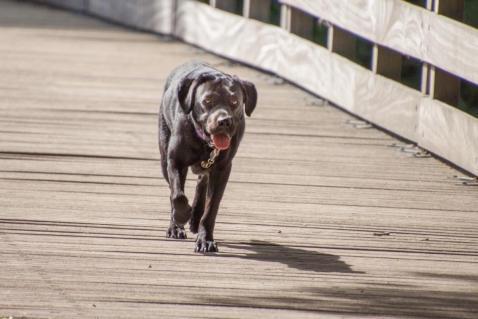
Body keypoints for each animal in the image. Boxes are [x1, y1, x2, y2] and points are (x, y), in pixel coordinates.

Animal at [159, 61, 258, 254]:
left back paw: (195, 217)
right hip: (164, 153)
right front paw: (181, 216)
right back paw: (176, 226)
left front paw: (205, 240)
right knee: (174, 190)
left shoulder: (222, 169)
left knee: (201, 183)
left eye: (234, 101)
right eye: (207, 101)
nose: (224, 121)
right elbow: (177, 195)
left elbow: (211, 207)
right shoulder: (175, 161)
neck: (206, 144)